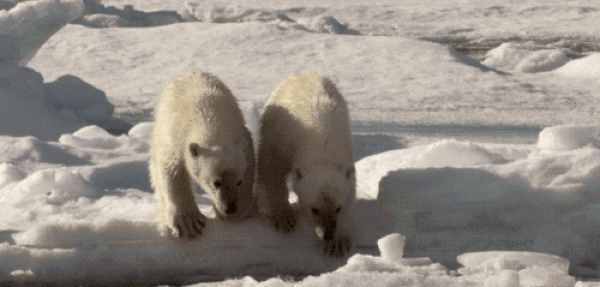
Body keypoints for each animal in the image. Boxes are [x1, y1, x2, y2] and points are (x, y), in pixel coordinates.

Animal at [150, 72, 255, 241]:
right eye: (216, 183)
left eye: (239, 181)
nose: (230, 208)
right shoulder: (175, 135)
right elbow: (171, 169)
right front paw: (188, 223)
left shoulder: (241, 135)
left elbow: (250, 161)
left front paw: (242, 210)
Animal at [255, 73, 354, 258]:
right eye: (314, 209)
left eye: (338, 208)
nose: (327, 235)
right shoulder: (281, 139)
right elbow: (272, 168)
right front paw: (284, 218)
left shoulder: (345, 151)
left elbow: (350, 188)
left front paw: (338, 243)